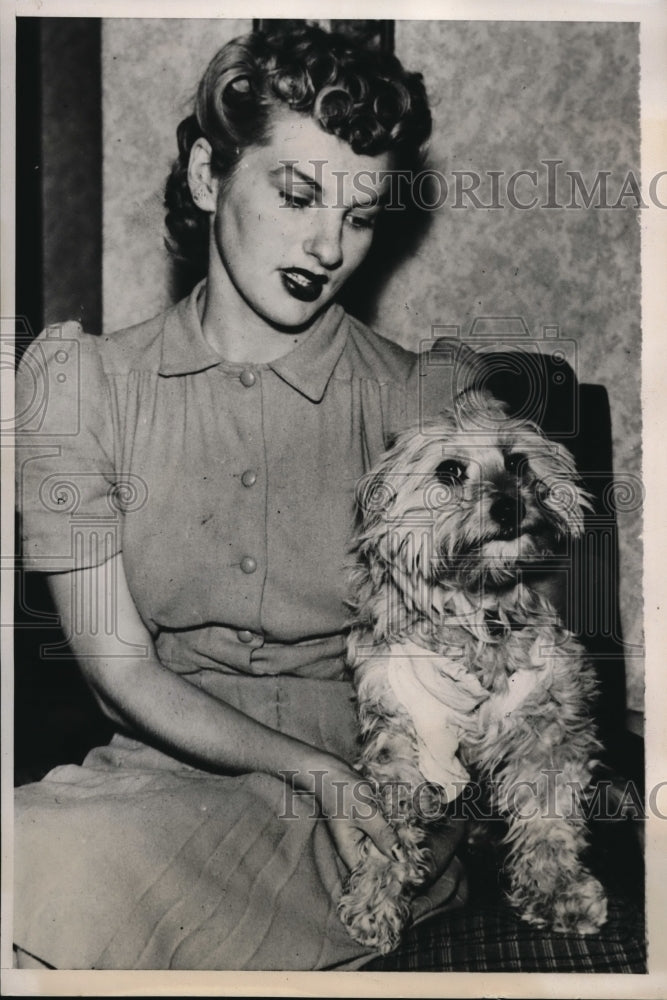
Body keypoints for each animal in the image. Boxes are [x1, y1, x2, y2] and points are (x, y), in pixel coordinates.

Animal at [340, 388, 612, 952]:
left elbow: (549, 818)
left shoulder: (549, 727)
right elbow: (389, 821)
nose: (512, 504)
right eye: (449, 471)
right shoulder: (401, 732)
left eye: (518, 462)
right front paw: (376, 895)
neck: (477, 611)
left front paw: (557, 890)